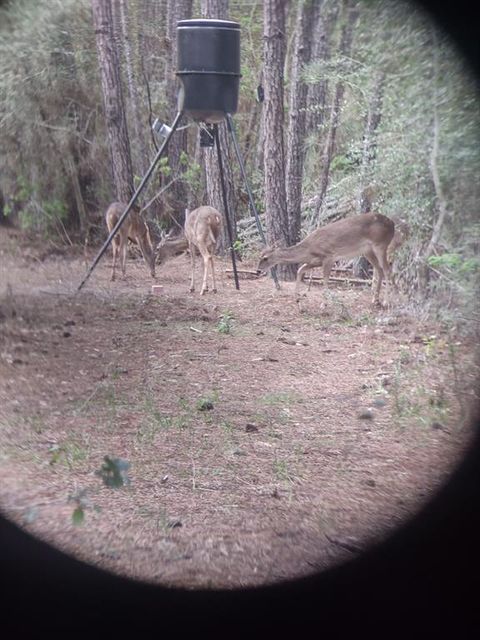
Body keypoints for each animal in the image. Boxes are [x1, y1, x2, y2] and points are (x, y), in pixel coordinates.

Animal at [256, 212, 396, 308]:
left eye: (265, 258)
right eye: (260, 255)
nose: (258, 270)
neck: (309, 249)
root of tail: (393, 224)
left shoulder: (329, 257)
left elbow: (325, 279)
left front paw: (324, 304)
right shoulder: (315, 261)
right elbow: (300, 270)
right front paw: (296, 298)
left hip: (380, 244)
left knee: (387, 270)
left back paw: (386, 301)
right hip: (367, 251)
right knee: (380, 269)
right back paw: (375, 300)